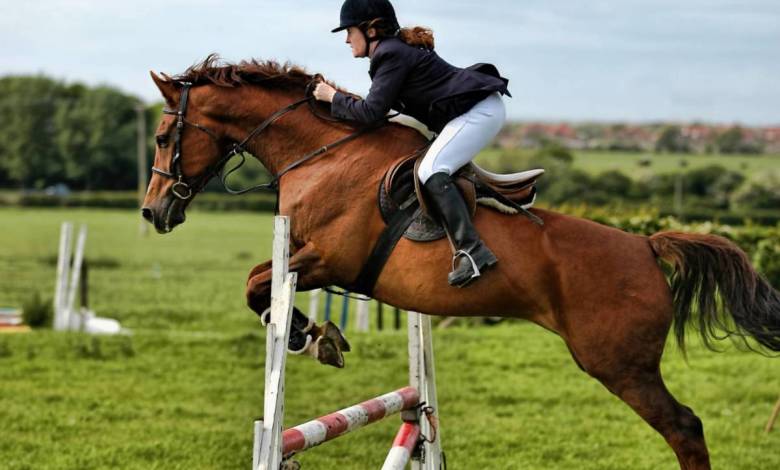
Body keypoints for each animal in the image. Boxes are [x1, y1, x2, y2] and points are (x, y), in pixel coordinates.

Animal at [142, 57, 780, 468]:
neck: (322, 153)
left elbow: (258, 286)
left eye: (161, 138)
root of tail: (646, 246)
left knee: (685, 428)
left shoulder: (326, 257)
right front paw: (316, 334)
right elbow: (260, 284)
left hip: (620, 364)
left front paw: (307, 334)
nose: (153, 212)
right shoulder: (310, 258)